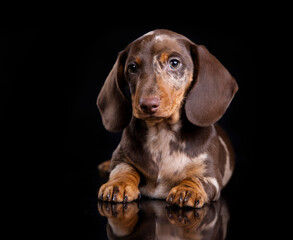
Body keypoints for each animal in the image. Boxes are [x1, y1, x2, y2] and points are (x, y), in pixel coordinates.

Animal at [96, 28, 237, 208]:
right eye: (132, 67)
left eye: (174, 63)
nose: (148, 104)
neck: (162, 132)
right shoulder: (122, 158)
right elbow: (123, 169)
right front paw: (118, 184)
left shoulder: (210, 175)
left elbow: (196, 178)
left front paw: (187, 190)